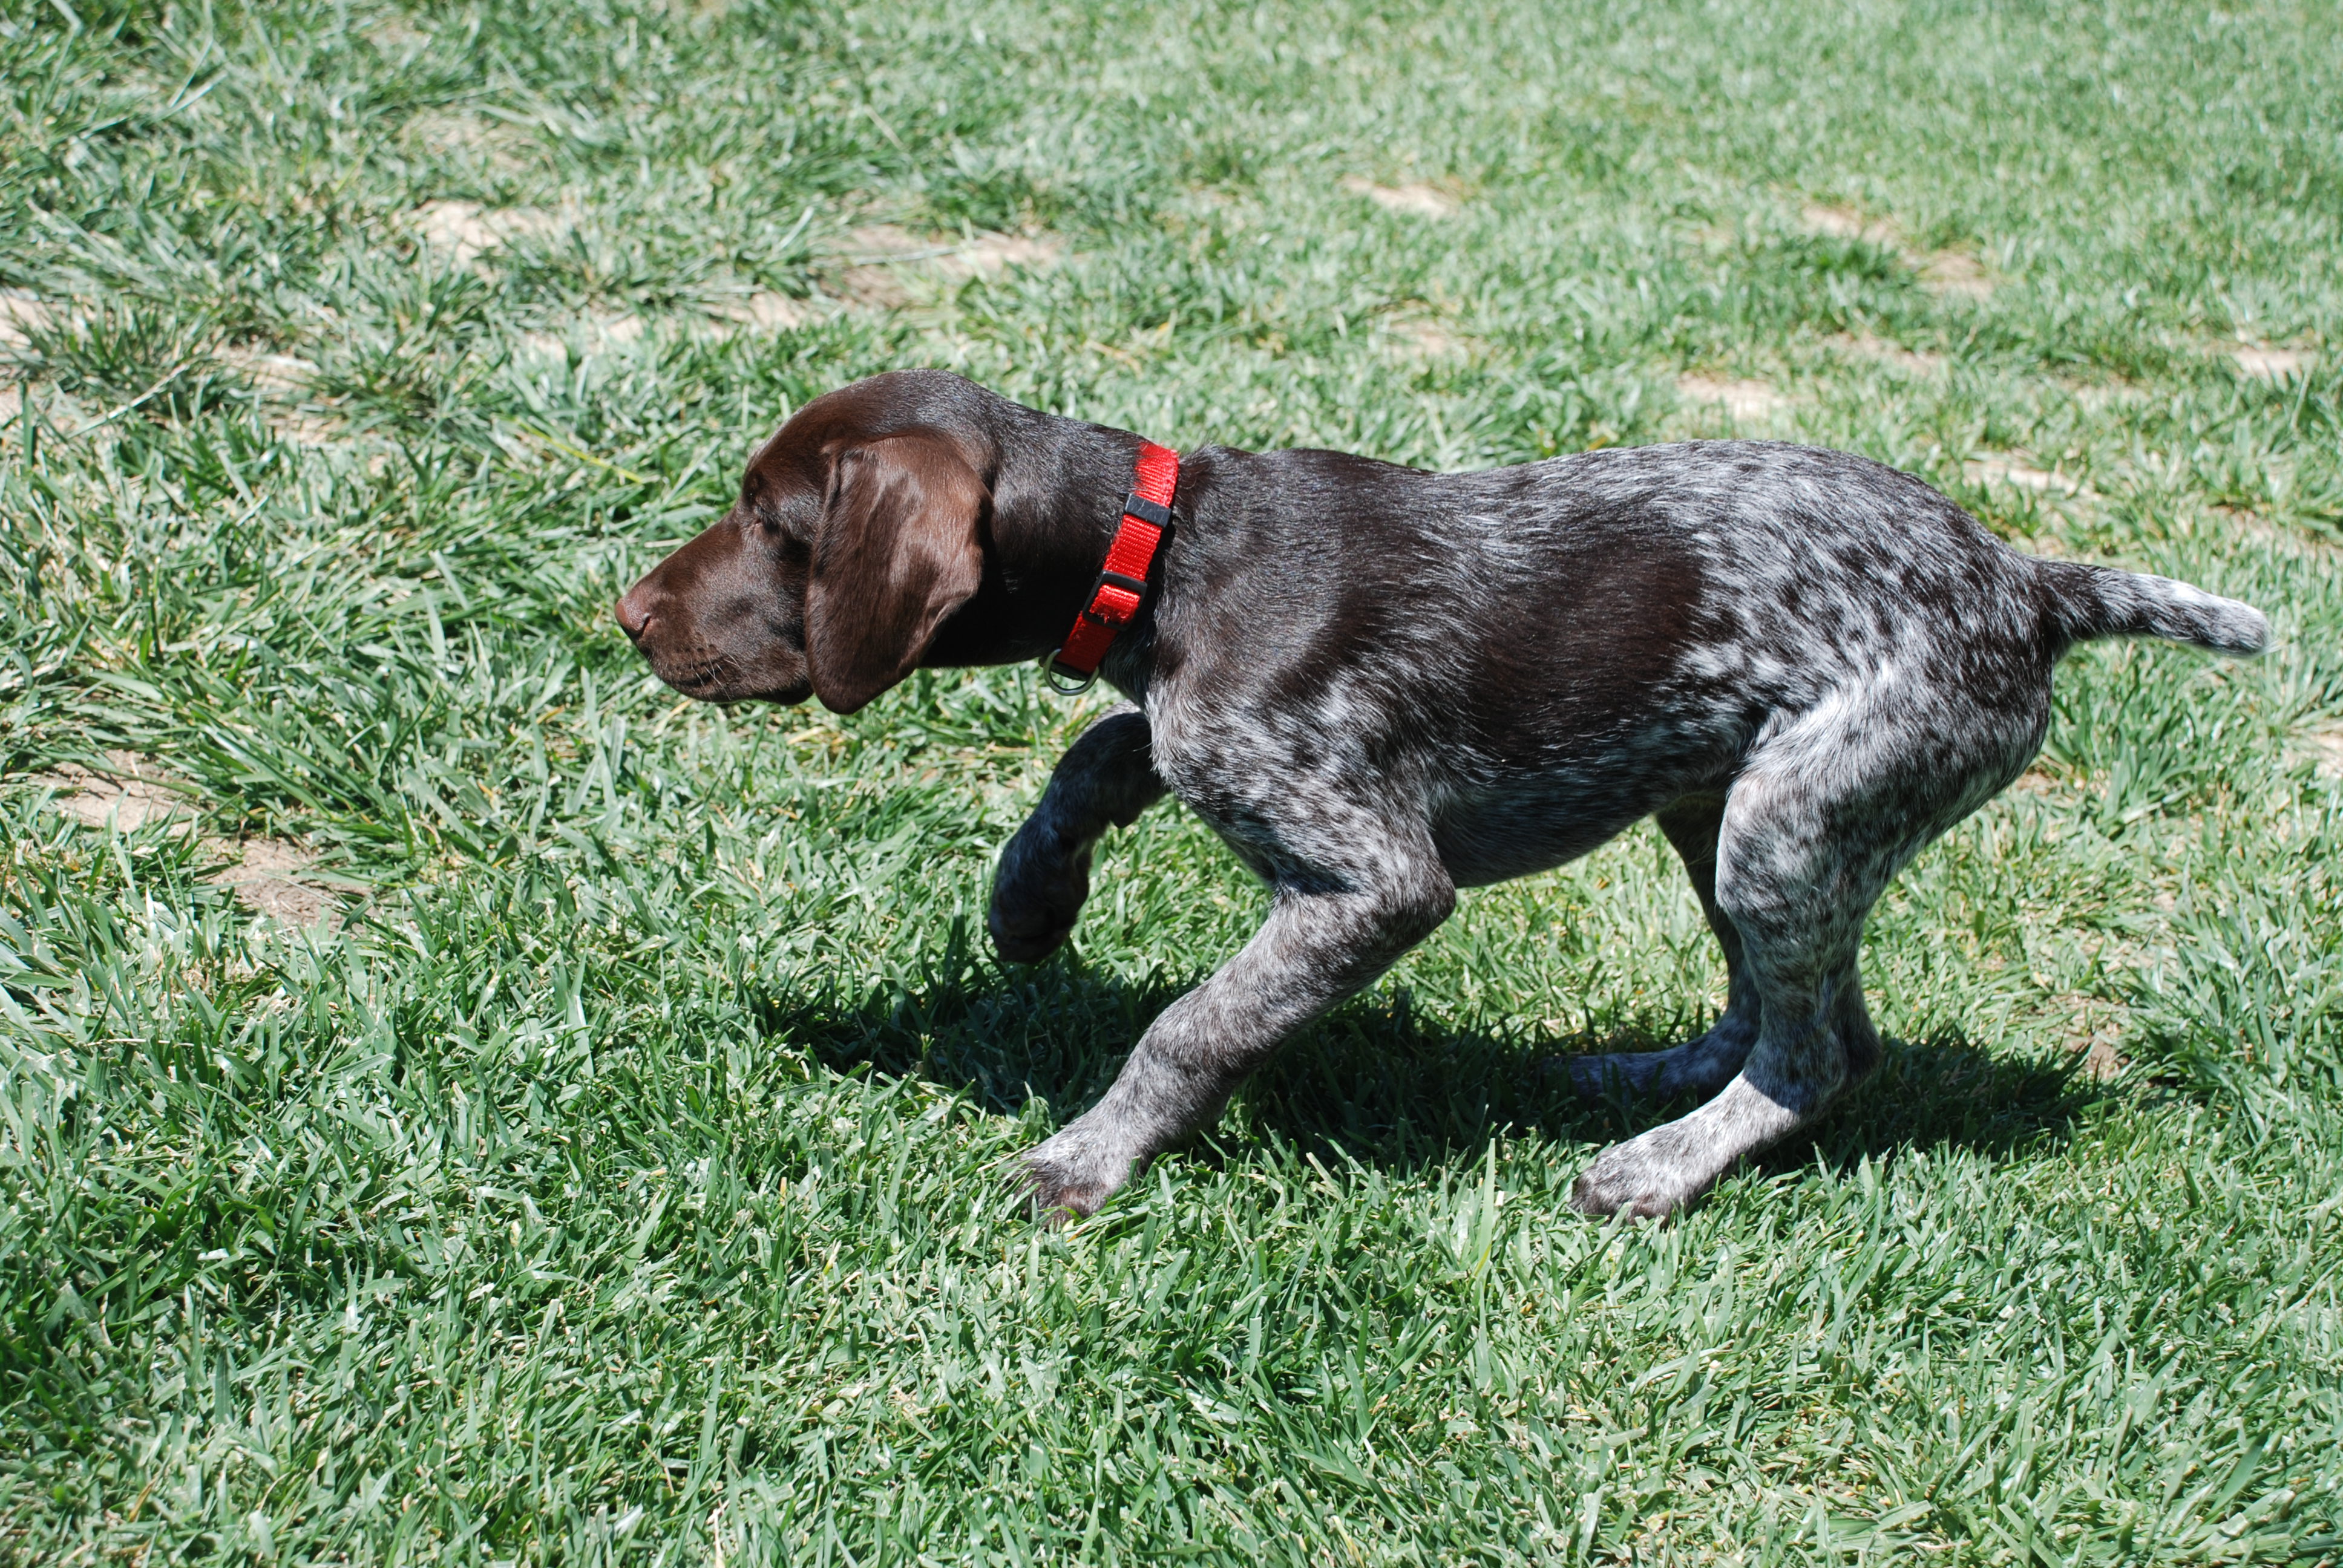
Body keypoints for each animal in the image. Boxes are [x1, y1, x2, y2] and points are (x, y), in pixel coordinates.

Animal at [623, 370, 2268, 1218]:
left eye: (776, 524)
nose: (630, 615)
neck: (1166, 551)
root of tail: (2025, 582)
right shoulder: (1198, 728)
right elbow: (1100, 749)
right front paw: (1030, 899)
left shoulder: (1373, 880)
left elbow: (1189, 1026)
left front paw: (1087, 1157)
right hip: (1719, 801)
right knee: (1768, 1002)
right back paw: (1655, 1077)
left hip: (1793, 817)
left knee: (1825, 1052)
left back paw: (1655, 1171)